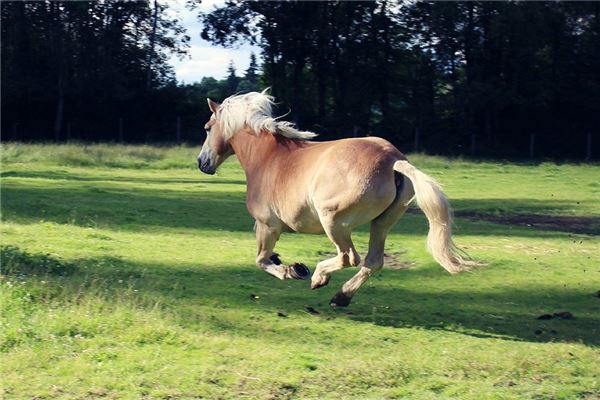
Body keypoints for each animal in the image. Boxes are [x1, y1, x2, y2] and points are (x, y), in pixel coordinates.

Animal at [197, 89, 478, 306]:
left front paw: (294, 270)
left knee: (349, 257)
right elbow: (265, 258)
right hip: (382, 223)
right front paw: (288, 264)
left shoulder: (267, 226)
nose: (202, 163)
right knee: (373, 261)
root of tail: (393, 160)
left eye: (207, 128)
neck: (267, 158)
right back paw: (341, 297)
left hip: (333, 221)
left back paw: (319, 277)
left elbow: (261, 261)